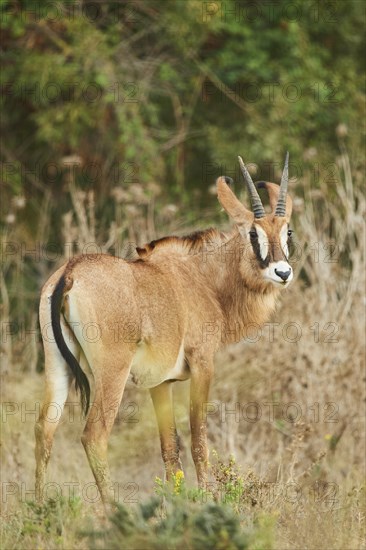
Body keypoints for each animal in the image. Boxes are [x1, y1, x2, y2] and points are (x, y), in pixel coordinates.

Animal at [35, 153, 294, 506]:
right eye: (253, 234)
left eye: (287, 232)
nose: (283, 272)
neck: (202, 278)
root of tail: (71, 272)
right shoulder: (202, 365)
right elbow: (198, 442)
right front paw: (208, 500)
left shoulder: (160, 383)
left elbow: (170, 450)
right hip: (112, 372)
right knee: (94, 436)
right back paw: (112, 510)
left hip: (56, 365)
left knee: (44, 430)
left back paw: (37, 508)